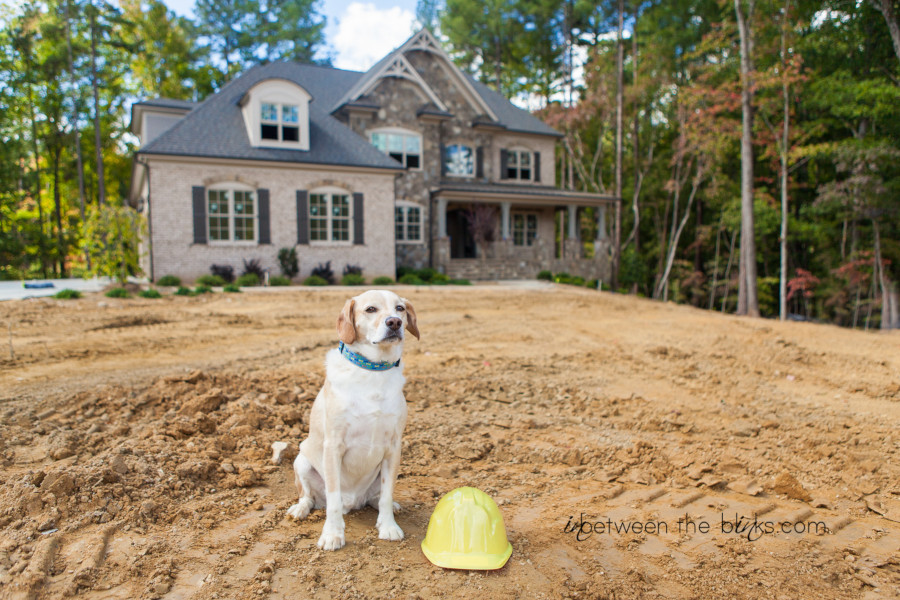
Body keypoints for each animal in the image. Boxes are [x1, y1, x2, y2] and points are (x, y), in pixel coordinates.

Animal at [286, 288, 420, 552]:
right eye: (370, 309)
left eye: (399, 308)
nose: (395, 323)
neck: (373, 371)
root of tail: (354, 502)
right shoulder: (333, 446)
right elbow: (333, 498)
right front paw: (332, 534)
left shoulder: (393, 448)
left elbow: (387, 494)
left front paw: (388, 526)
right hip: (302, 460)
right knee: (309, 496)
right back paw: (301, 509)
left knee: (377, 497)